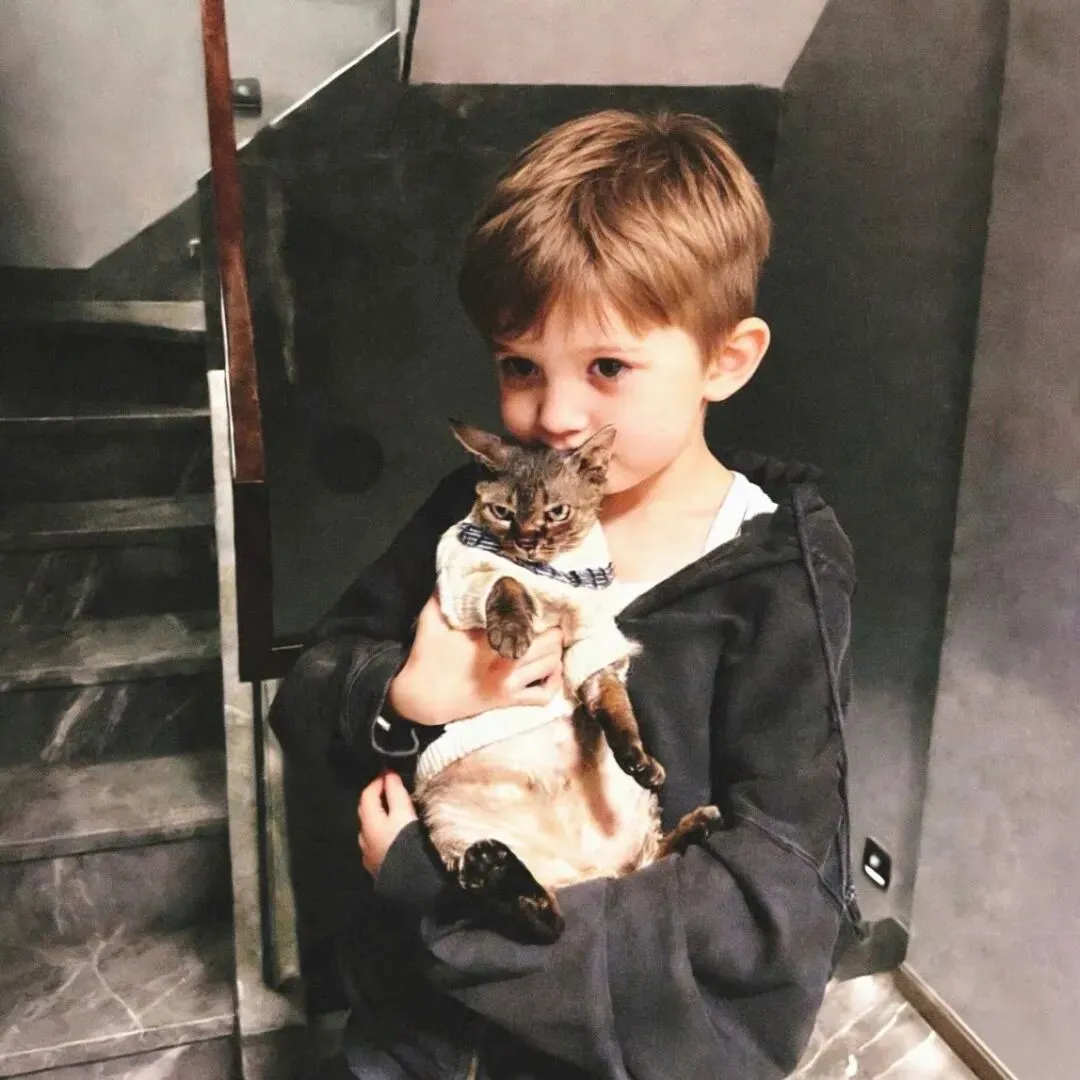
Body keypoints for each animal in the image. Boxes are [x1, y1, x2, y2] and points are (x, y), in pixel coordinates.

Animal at [410, 422, 721, 944]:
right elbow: (505, 583)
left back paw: (696, 824)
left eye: (556, 513)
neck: (556, 572)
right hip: (453, 826)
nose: (527, 541)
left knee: (637, 868)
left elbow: (616, 710)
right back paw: (496, 870)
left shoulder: (591, 647)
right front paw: (512, 629)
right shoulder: (462, 584)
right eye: (502, 513)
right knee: (542, 920)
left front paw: (639, 758)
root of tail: (587, 874)